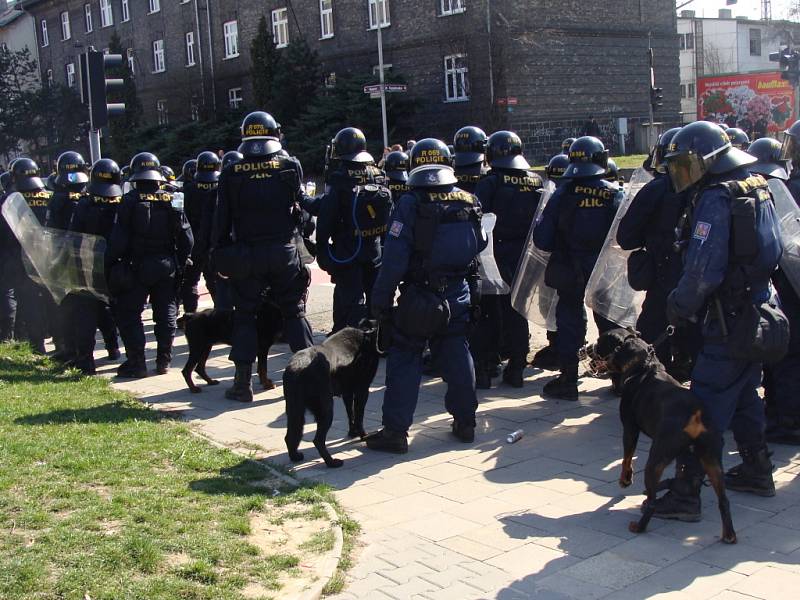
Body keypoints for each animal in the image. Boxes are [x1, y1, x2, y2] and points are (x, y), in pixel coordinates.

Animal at [282, 324, 380, 468]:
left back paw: (295, 456)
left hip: (295, 410)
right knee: (318, 440)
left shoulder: (347, 392)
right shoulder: (362, 390)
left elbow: (350, 413)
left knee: (290, 435)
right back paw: (331, 462)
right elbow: (359, 416)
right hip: (326, 408)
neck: (367, 337)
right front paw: (362, 435)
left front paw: (352, 433)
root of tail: (298, 367)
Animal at [596, 328, 736, 544]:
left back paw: (639, 526)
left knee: (652, 501)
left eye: (601, 340)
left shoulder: (630, 427)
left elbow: (627, 457)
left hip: (657, 458)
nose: (593, 346)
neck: (643, 366)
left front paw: (625, 480)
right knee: (724, 500)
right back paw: (729, 535)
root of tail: (694, 413)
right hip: (711, 458)